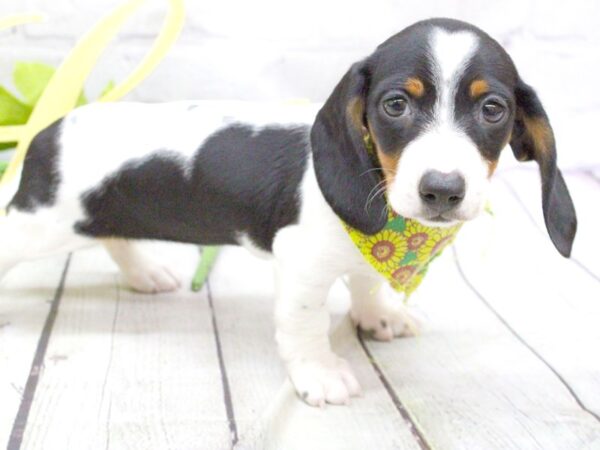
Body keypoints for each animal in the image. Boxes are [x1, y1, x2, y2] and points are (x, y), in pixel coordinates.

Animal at [0, 19, 576, 408]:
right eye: (395, 105)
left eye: (493, 109)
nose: (442, 190)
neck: (388, 220)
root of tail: (51, 127)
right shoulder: (300, 267)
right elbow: (305, 326)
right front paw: (320, 374)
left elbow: (366, 282)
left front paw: (379, 314)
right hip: (37, 223)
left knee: (114, 236)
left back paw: (144, 273)